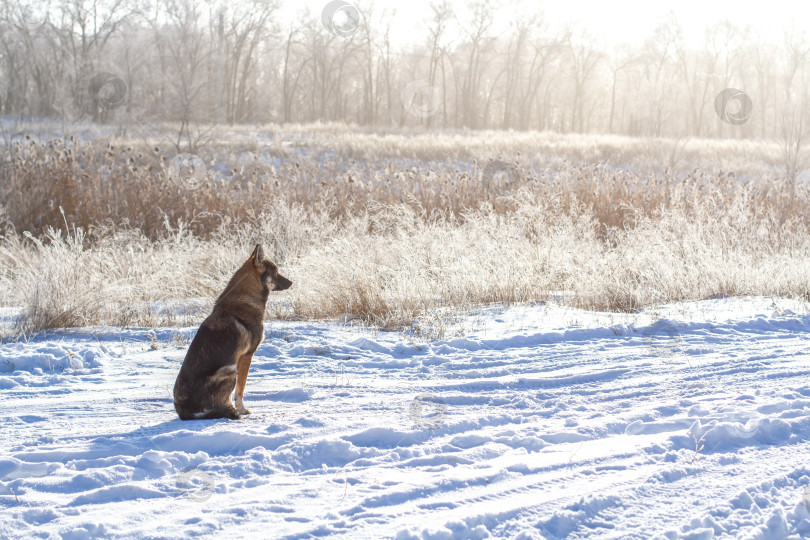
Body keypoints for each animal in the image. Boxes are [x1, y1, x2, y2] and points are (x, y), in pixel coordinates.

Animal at [172, 245, 292, 422]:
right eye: (276, 272)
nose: (291, 282)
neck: (246, 299)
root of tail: (183, 411)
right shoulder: (246, 356)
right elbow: (240, 391)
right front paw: (242, 410)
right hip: (230, 371)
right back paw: (232, 412)